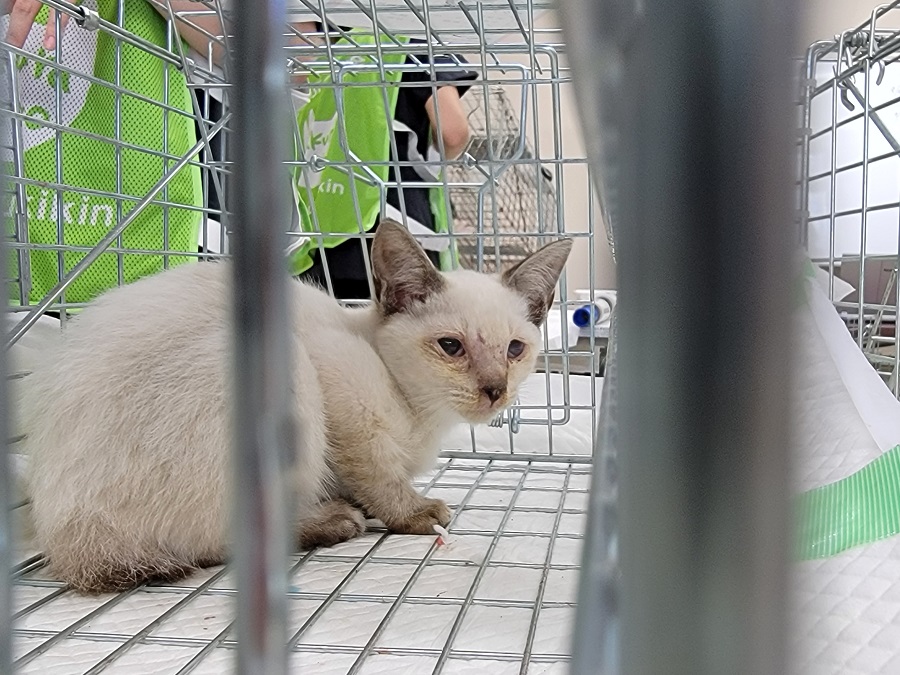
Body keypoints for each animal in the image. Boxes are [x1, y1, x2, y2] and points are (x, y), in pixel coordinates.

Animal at [21, 220, 572, 594]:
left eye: (515, 350)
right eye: (452, 347)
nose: (495, 389)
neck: (421, 413)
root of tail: (66, 537)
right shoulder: (336, 382)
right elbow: (376, 472)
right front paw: (413, 512)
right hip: (285, 371)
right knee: (218, 539)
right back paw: (333, 521)